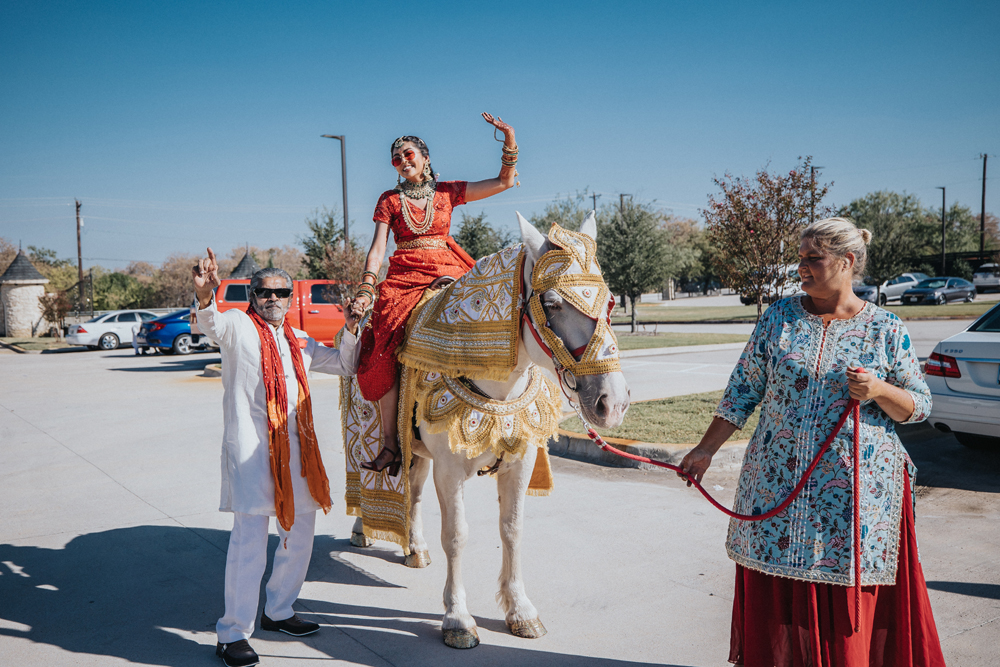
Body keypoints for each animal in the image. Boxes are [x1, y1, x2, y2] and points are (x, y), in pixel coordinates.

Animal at [356, 213, 628, 648]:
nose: (612, 403)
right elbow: (457, 535)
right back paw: (362, 530)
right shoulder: (450, 470)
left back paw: (415, 548)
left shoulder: (519, 463)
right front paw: (457, 618)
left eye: (610, 302)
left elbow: (512, 529)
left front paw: (521, 610)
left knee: (413, 492)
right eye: (552, 303)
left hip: (416, 453)